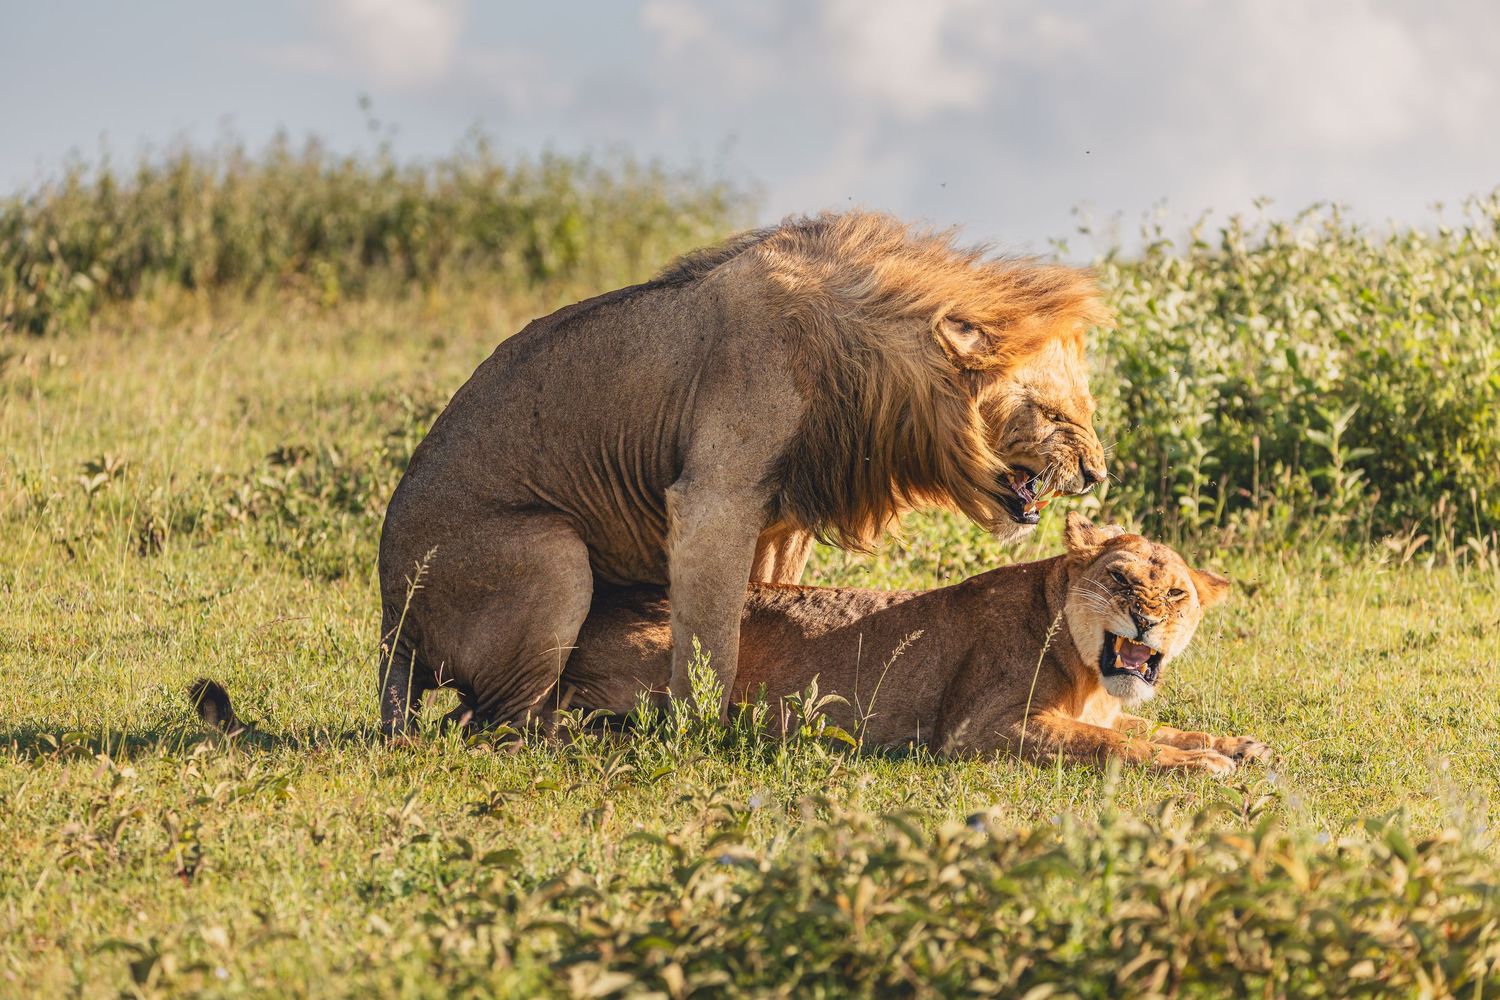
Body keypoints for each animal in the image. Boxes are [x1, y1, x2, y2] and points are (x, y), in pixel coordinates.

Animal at [377, 212, 1112, 735]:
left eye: (1085, 408)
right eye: (1051, 412)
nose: (1097, 474)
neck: (868, 368)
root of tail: (390, 622)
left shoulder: (781, 522)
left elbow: (765, 608)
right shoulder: (712, 500)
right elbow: (712, 635)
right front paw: (702, 729)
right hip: (554, 556)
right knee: (495, 722)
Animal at [559, 513, 1268, 773]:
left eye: (1176, 594)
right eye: (1120, 579)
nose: (1146, 620)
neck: (1092, 672)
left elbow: (1160, 728)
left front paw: (1239, 746)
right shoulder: (981, 728)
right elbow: (1110, 743)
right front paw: (1205, 766)